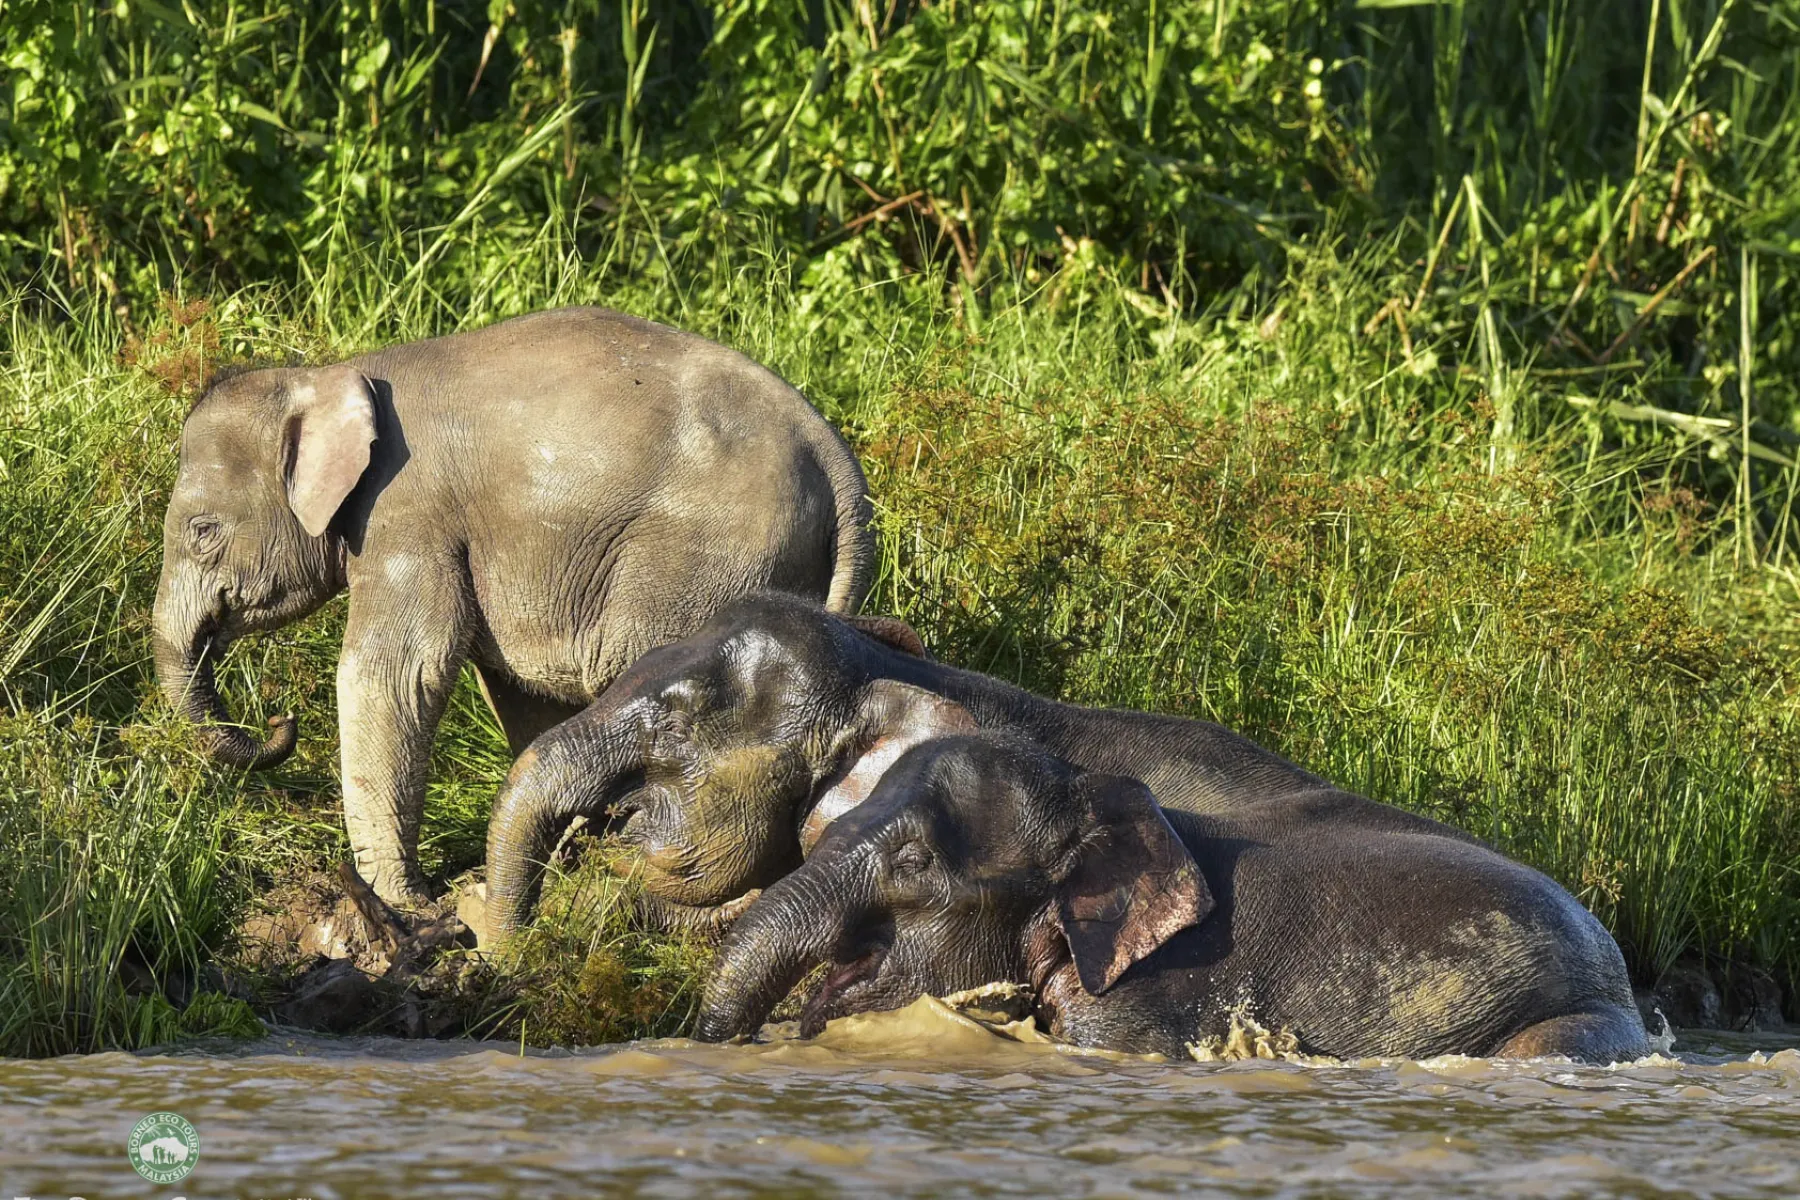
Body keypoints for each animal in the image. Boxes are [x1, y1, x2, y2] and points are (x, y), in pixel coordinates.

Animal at [153, 308, 872, 906]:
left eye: (202, 531)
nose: (280, 720)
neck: (324, 374)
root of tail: (834, 456)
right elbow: (521, 694)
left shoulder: (407, 514)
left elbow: (396, 673)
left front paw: (400, 901)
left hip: (701, 561)